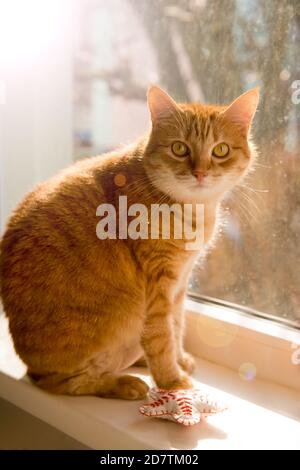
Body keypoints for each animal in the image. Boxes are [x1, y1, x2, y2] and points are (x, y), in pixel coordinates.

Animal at [0, 86, 258, 398]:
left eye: (220, 150)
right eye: (179, 148)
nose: (200, 173)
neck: (194, 211)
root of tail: (28, 365)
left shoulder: (180, 284)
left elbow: (177, 325)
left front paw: (179, 361)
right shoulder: (158, 287)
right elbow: (162, 337)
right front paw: (172, 380)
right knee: (66, 383)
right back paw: (123, 383)